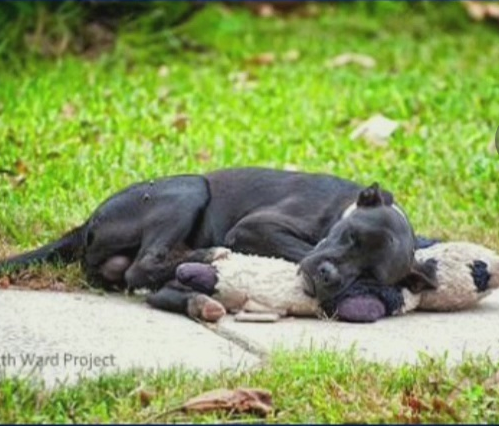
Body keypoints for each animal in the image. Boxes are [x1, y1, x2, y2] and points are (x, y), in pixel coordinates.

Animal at [0, 166, 438, 312]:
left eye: (370, 274)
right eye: (349, 237)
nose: (329, 276)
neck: (340, 210)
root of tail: (88, 222)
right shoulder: (254, 227)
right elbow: (301, 249)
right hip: (190, 188)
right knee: (142, 267)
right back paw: (209, 256)